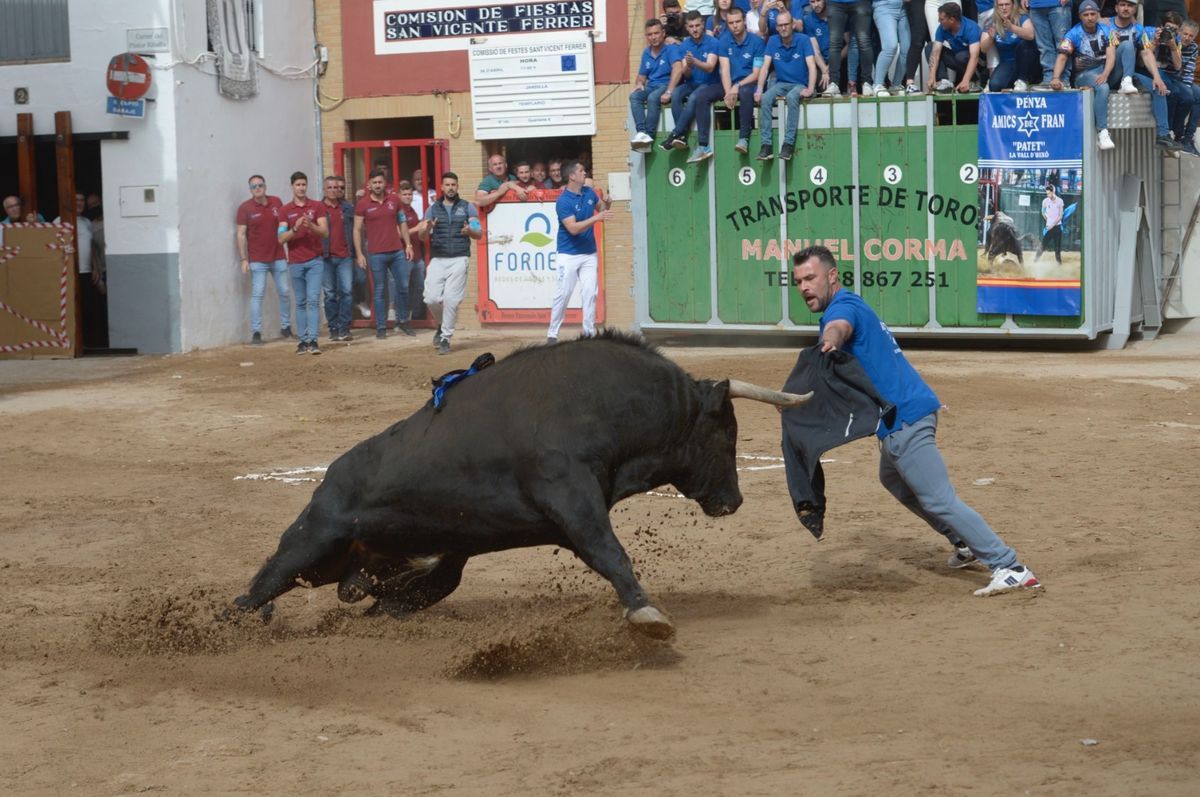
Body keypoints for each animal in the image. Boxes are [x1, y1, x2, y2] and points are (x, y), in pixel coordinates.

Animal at [232, 333, 806, 638]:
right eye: (726, 432)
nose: (733, 501)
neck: (601, 405)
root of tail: (327, 479)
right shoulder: (574, 502)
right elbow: (613, 555)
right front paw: (647, 616)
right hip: (309, 546)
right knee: (250, 595)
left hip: (361, 561)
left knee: (423, 586)